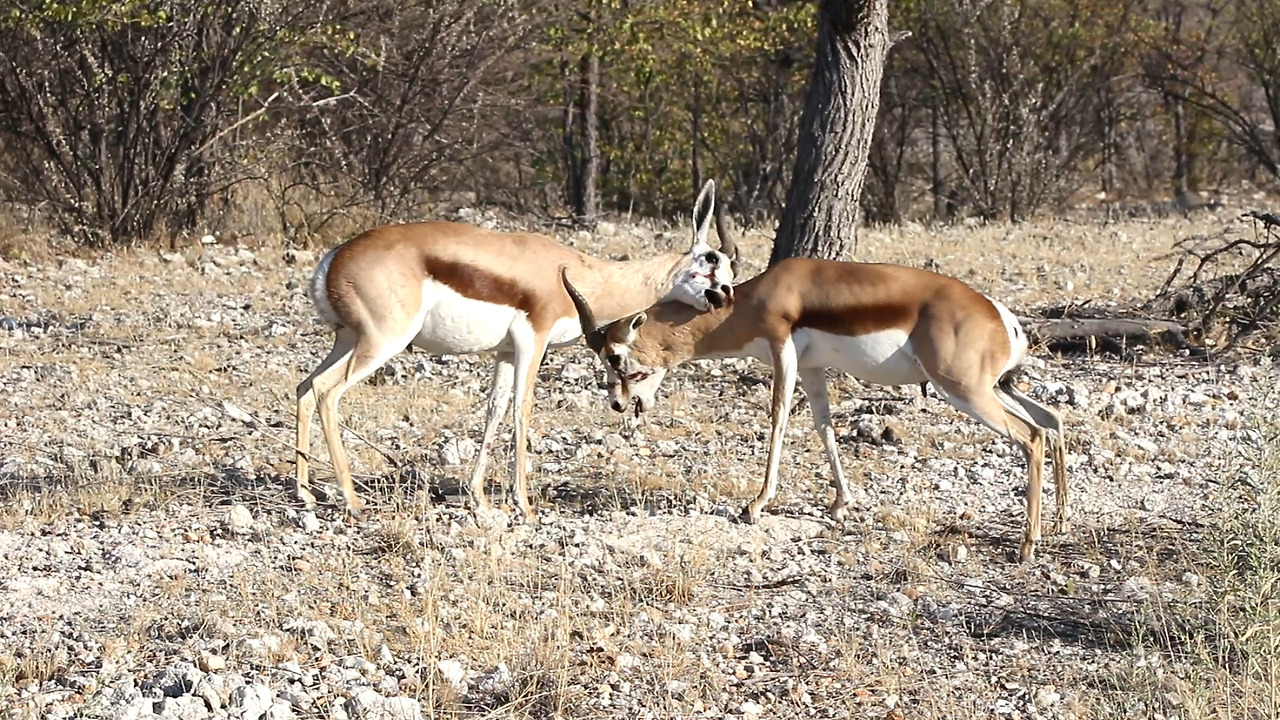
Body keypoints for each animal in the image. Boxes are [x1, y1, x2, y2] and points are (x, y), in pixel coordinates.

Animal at [296, 180, 737, 522]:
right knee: (327, 392)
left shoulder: (505, 352)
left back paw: (306, 494)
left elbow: (494, 410)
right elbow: (522, 411)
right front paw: (523, 505)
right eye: (710, 261)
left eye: (731, 269)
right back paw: (352, 501)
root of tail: (334, 259)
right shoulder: (532, 340)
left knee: (305, 387)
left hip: (348, 340)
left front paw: (479, 499)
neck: (571, 272)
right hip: (382, 342)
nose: (725, 296)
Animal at [563, 256, 1068, 561]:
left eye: (613, 356)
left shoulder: (782, 352)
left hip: (964, 390)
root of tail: (1001, 316)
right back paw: (1060, 520)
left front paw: (755, 504)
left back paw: (1028, 544)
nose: (617, 404)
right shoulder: (812, 368)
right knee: (1052, 420)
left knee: (1031, 435)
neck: (754, 300)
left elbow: (779, 417)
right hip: (998, 386)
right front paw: (841, 504)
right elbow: (823, 426)